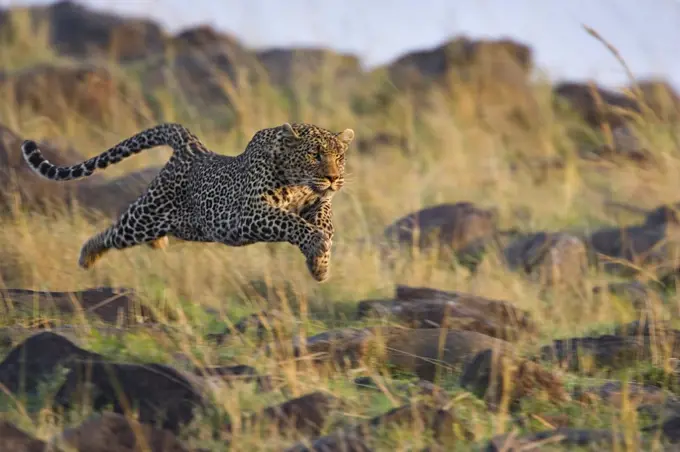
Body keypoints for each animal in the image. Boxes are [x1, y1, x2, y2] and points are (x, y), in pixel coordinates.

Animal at [19, 122, 356, 280]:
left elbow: (324, 218)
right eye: (315, 155)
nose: (334, 177)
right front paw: (316, 245)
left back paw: (156, 244)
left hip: (187, 226)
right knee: (114, 232)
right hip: (144, 217)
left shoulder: (316, 202)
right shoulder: (249, 212)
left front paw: (320, 261)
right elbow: (289, 221)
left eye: (339, 157)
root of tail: (191, 145)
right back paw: (88, 254)